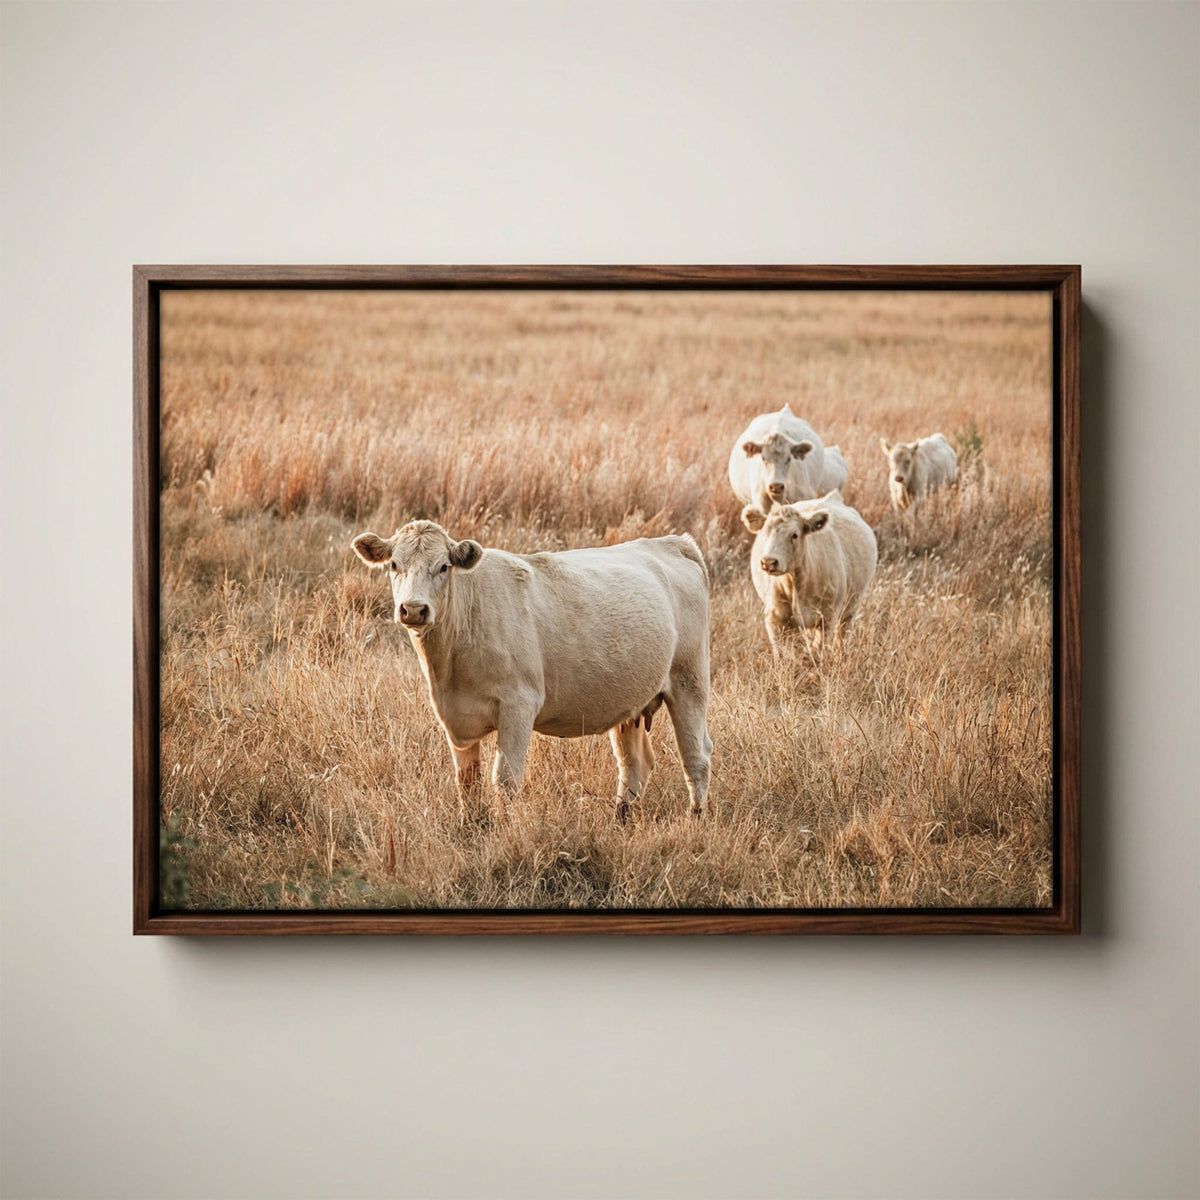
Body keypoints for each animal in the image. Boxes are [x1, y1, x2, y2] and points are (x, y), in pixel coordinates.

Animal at [352, 521, 713, 821]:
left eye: (443, 566)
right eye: (394, 565)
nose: (413, 609)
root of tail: (673, 543)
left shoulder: (518, 704)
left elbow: (505, 779)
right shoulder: (454, 715)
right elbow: (467, 780)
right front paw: (472, 828)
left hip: (690, 681)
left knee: (696, 755)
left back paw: (696, 816)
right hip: (631, 701)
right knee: (634, 762)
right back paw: (620, 818)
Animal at [741, 491, 877, 652]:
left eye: (794, 534)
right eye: (764, 533)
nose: (768, 562)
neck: (796, 583)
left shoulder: (828, 617)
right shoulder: (775, 618)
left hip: (850, 608)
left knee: (842, 635)